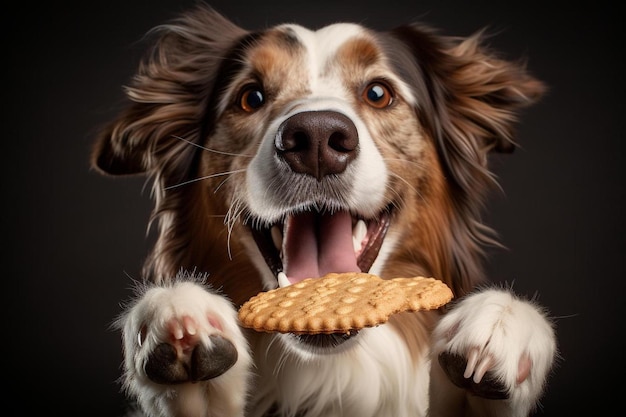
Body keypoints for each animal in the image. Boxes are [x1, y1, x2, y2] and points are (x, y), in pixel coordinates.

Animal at [90, 4, 552, 416]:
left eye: (379, 93)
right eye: (250, 96)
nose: (315, 139)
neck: (331, 373)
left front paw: (501, 324)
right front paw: (180, 313)